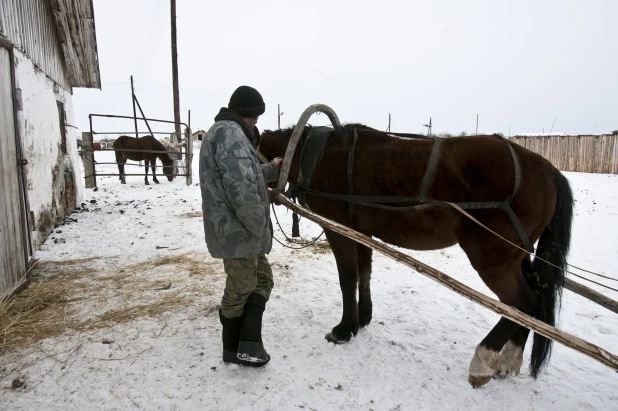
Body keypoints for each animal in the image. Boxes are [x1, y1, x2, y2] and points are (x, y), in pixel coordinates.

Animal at [258, 124, 572, 388]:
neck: (319, 155)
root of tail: (548, 171)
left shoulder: (339, 229)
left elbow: (348, 278)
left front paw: (344, 329)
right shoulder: (361, 231)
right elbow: (364, 273)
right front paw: (363, 318)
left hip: (492, 256)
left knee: (521, 302)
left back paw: (483, 361)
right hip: (517, 255)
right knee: (533, 300)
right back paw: (509, 360)